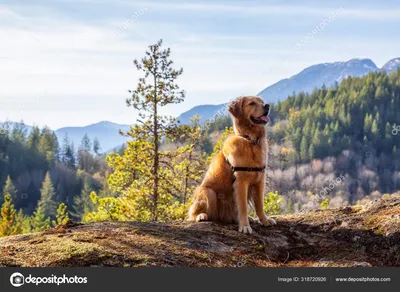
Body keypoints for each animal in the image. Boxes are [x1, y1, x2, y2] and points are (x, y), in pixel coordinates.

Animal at [188, 96, 276, 235]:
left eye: (262, 102)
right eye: (251, 103)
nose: (267, 105)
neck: (250, 140)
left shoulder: (259, 180)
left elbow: (259, 205)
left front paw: (265, 220)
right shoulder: (241, 182)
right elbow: (243, 207)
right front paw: (244, 226)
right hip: (209, 192)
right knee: (194, 214)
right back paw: (201, 216)